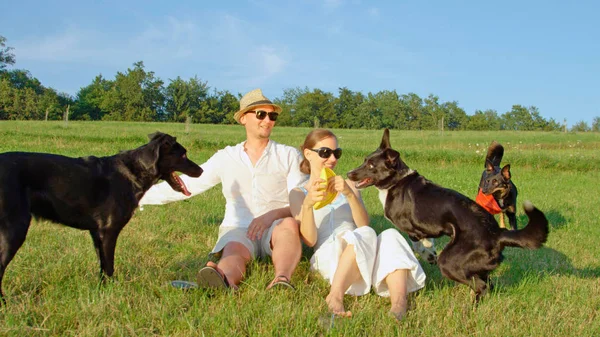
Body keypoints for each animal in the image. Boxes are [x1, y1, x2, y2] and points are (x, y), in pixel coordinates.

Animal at [0, 131, 203, 302]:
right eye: (183, 155)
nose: (200, 171)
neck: (133, 172)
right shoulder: (109, 231)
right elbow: (109, 266)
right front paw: (113, 292)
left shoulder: (97, 233)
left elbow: (102, 266)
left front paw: (102, 290)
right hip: (15, 229)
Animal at [346, 130, 548, 300]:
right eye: (364, 160)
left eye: (371, 165)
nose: (349, 173)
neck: (396, 180)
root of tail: (497, 233)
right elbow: (427, 241)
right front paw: (430, 251)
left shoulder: (410, 227)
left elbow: (417, 243)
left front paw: (428, 254)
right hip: (477, 267)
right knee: (487, 284)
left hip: (451, 262)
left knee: (481, 286)